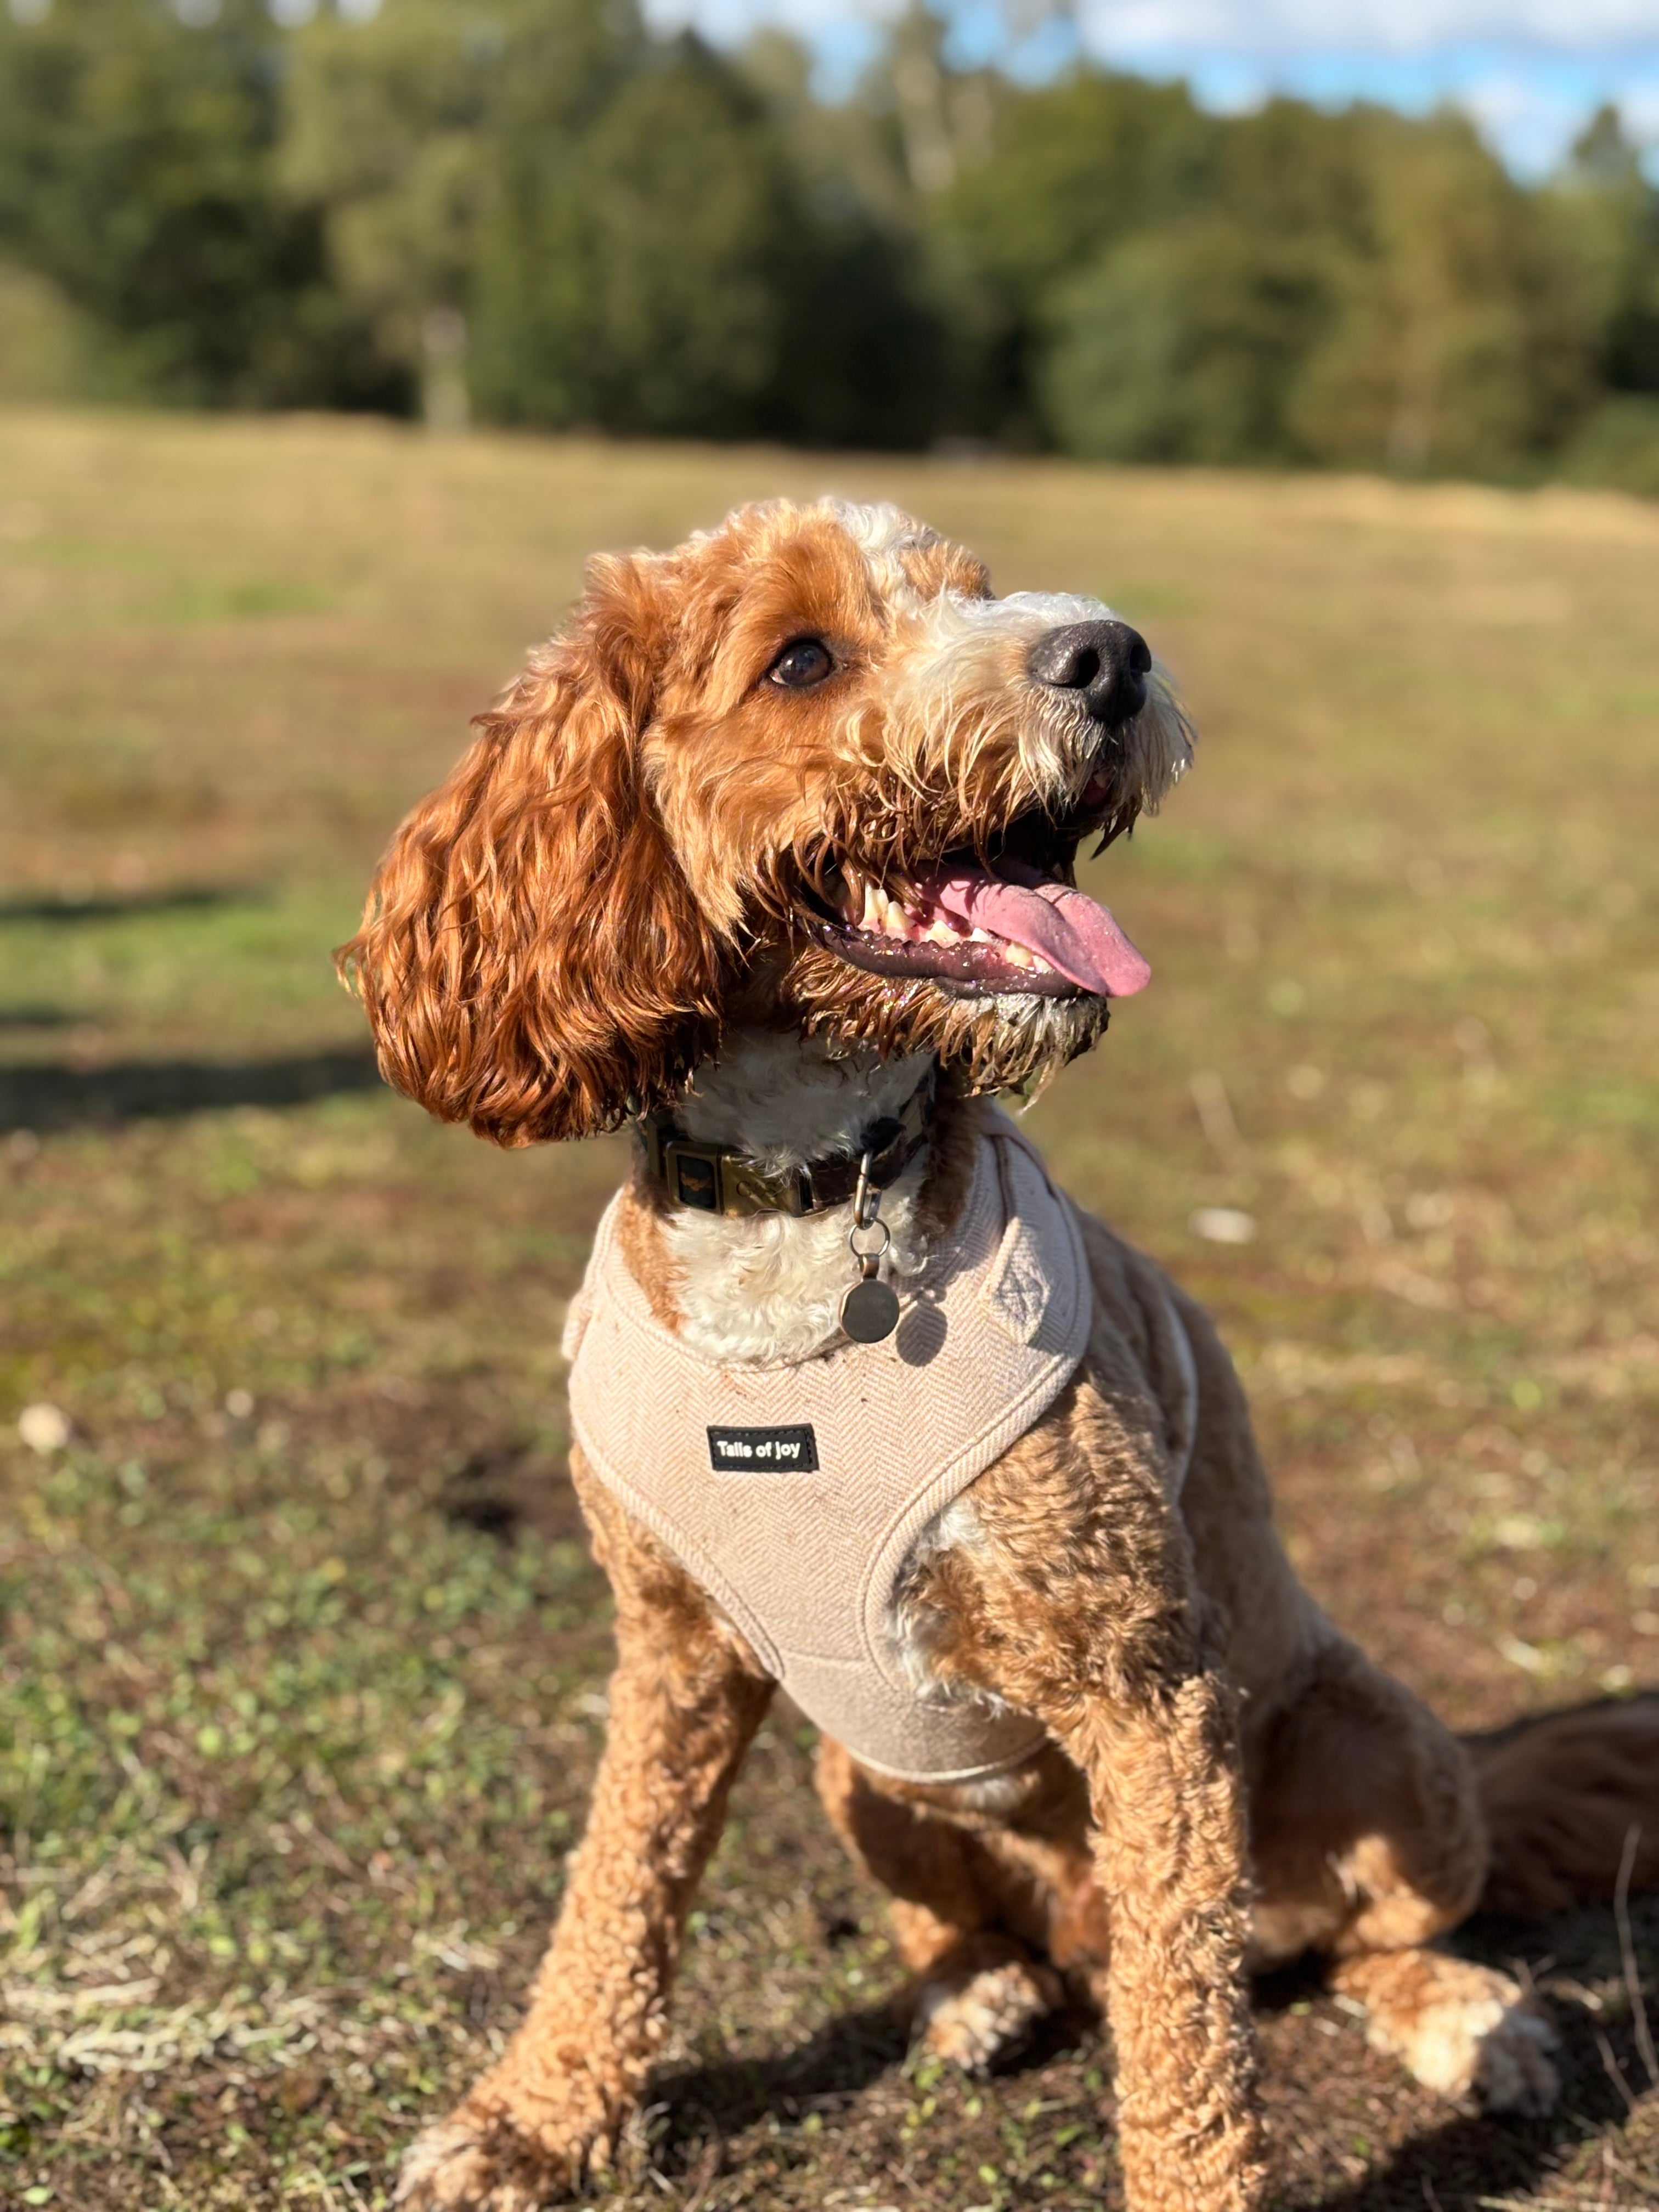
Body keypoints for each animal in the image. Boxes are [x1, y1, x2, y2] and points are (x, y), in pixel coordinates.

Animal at [340, 502, 1659, 2212]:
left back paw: (1472, 2022)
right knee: (974, 1925)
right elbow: (615, 1890)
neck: (808, 1198)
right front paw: (537, 2117)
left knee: (1355, 1937)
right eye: (802, 658)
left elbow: (1190, 2045)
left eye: (974, 592)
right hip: (862, 1777)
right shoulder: (672, 1653)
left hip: (1380, 1751)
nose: (1110, 653)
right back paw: (978, 1984)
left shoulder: (1149, 1692)